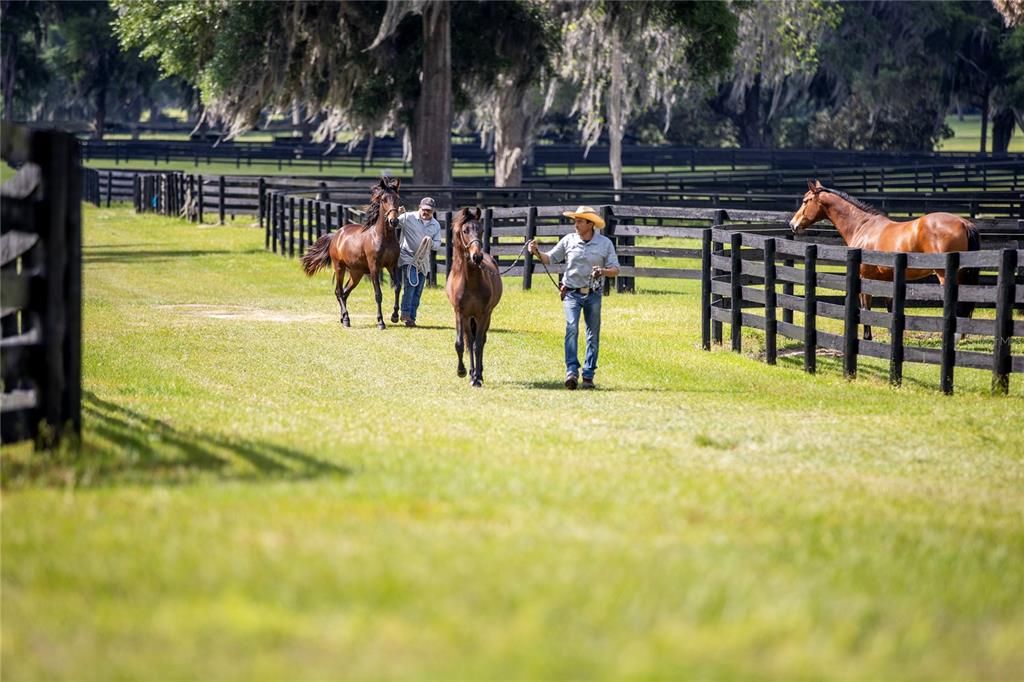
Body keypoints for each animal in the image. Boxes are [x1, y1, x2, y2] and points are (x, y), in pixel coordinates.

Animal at [299, 176, 401, 327]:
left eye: (397, 198)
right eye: (383, 200)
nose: (393, 221)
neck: (383, 237)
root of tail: (336, 235)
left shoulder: (392, 266)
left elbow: (397, 287)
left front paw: (394, 316)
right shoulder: (374, 267)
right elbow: (378, 294)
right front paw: (380, 322)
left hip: (356, 274)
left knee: (345, 293)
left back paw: (343, 318)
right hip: (339, 268)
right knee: (339, 291)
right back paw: (346, 319)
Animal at [446, 206, 501, 385]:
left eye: (481, 230)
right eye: (465, 230)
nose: (477, 256)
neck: (470, 281)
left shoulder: (483, 314)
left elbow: (478, 345)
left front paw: (477, 378)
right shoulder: (460, 314)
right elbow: (461, 344)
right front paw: (462, 371)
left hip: (485, 316)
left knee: (481, 341)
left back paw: (479, 374)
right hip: (468, 318)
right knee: (469, 341)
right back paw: (471, 372)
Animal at [786, 178, 978, 339]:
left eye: (805, 201)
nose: (792, 224)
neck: (862, 226)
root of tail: (964, 223)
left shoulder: (865, 279)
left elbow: (866, 306)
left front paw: (867, 337)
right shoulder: (887, 279)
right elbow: (890, 308)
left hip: (945, 276)